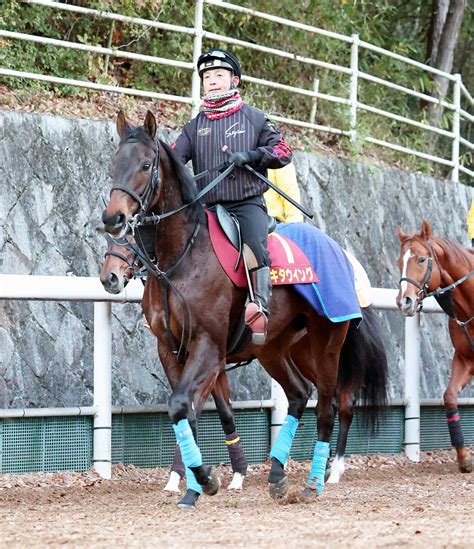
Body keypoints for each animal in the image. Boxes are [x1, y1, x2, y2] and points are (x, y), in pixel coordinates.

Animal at [102, 111, 386, 510]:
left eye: (145, 165)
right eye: (115, 164)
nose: (113, 218)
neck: (182, 255)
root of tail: (343, 256)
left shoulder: (208, 346)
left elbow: (185, 405)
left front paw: (205, 479)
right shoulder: (171, 349)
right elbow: (185, 410)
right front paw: (193, 484)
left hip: (326, 343)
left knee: (331, 405)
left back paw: (317, 480)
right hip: (275, 348)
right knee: (299, 393)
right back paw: (278, 474)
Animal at [398, 218, 472, 470]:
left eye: (421, 259)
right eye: (399, 262)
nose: (405, 301)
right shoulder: (464, 359)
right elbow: (449, 396)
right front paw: (463, 456)